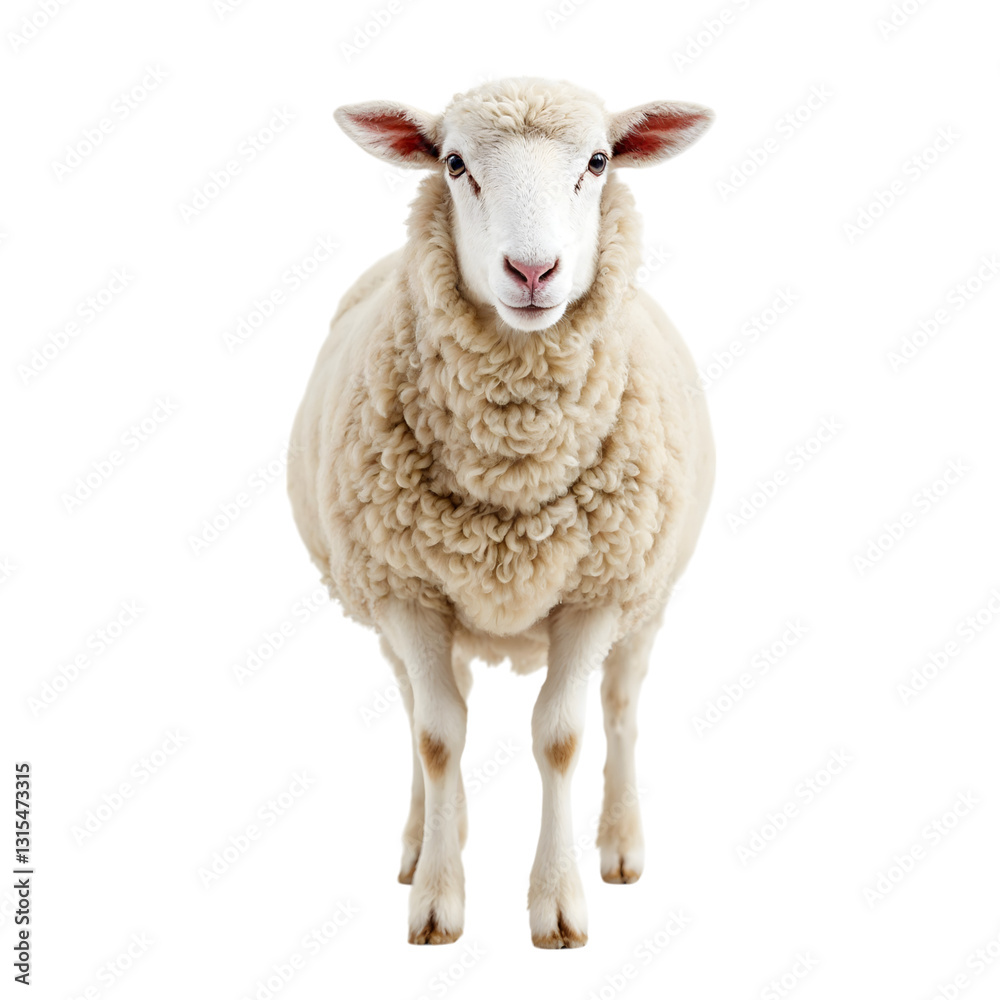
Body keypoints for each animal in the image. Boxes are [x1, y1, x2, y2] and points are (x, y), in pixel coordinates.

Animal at [287, 77, 715, 948]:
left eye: (599, 161)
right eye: (454, 164)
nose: (532, 269)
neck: (515, 460)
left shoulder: (596, 593)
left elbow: (562, 736)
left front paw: (558, 902)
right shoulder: (407, 594)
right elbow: (437, 736)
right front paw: (437, 897)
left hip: (647, 595)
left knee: (621, 707)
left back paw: (621, 843)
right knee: (426, 708)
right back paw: (423, 840)